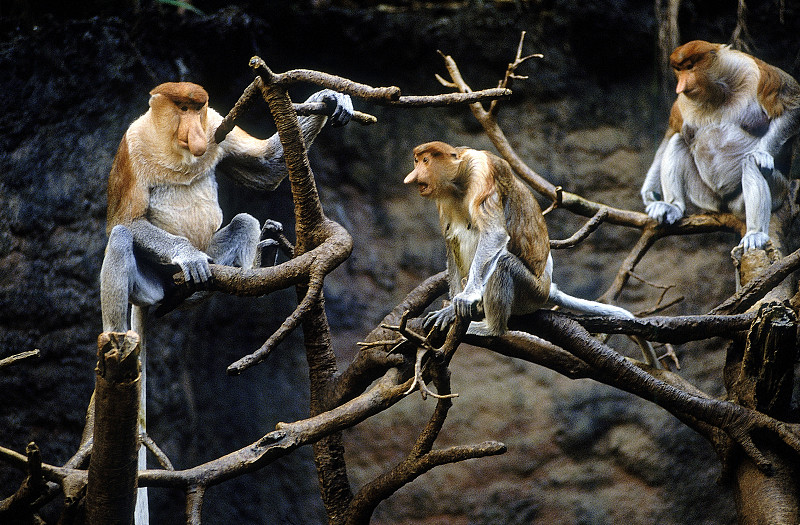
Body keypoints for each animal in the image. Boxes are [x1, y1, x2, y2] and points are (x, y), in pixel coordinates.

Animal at [406, 140, 664, 368]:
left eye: (425, 160)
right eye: (417, 160)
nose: (411, 177)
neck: (458, 180)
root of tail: (548, 287)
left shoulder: (482, 172)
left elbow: (494, 234)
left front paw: (465, 300)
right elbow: (451, 241)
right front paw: (449, 311)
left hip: (530, 292)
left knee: (502, 263)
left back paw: (491, 329)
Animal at [640, 41, 800, 250]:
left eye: (690, 67)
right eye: (679, 70)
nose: (681, 85)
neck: (718, 93)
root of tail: (724, 205)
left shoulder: (757, 72)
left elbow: (793, 106)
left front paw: (762, 154)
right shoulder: (681, 103)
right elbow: (671, 133)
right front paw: (650, 195)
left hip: (776, 191)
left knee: (751, 163)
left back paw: (755, 233)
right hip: (704, 196)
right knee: (678, 141)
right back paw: (672, 207)